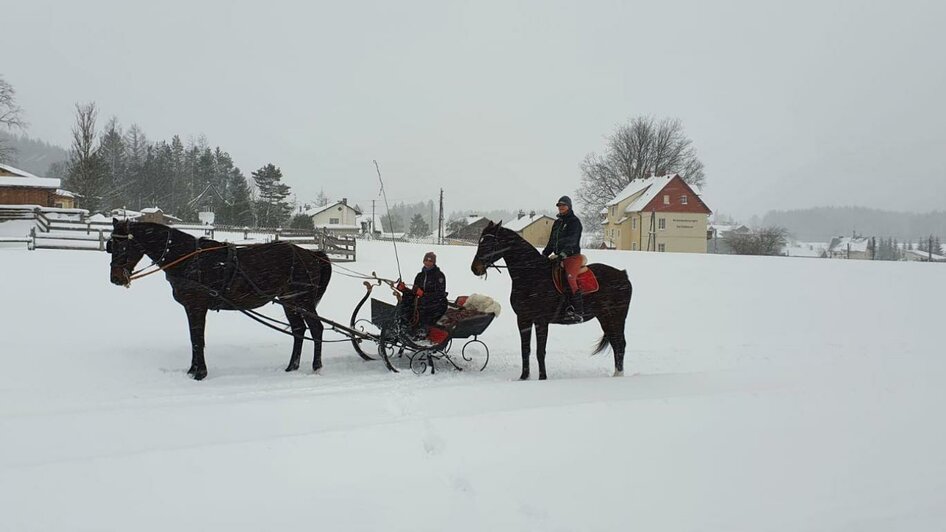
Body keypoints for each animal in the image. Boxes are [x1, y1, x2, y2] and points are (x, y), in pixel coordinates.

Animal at [107, 219, 332, 378]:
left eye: (123, 246)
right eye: (110, 245)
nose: (115, 279)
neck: (187, 257)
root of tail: (313, 254)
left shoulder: (197, 306)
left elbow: (198, 339)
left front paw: (200, 373)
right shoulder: (190, 307)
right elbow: (193, 338)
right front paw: (192, 370)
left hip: (303, 300)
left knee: (316, 328)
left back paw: (316, 367)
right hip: (290, 302)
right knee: (299, 330)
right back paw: (292, 367)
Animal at [468, 222, 632, 380]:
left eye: (489, 242)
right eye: (480, 240)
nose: (475, 268)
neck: (531, 274)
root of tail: (622, 274)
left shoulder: (541, 321)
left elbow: (540, 351)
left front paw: (542, 378)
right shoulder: (523, 319)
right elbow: (525, 349)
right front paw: (524, 377)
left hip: (616, 316)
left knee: (620, 343)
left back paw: (619, 375)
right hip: (605, 317)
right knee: (615, 342)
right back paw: (617, 374)